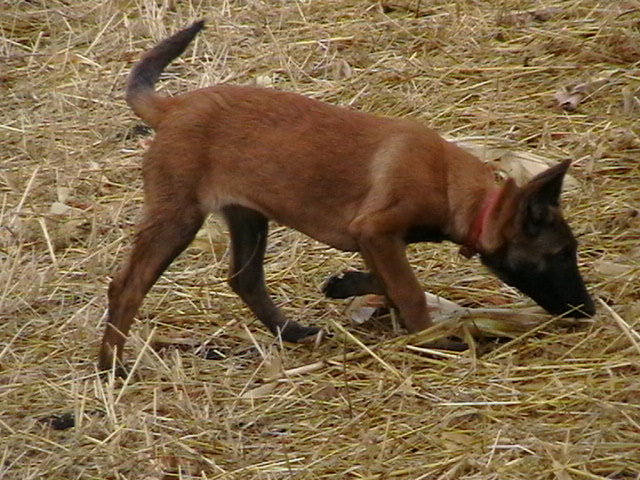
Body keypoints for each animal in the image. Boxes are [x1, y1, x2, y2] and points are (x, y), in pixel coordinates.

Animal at [99, 19, 596, 372]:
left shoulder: (373, 240)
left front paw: (344, 285)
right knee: (126, 286)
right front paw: (433, 339)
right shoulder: (376, 230)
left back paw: (292, 331)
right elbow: (409, 290)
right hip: (178, 217)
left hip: (248, 217)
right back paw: (112, 367)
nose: (588, 310)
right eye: (561, 254)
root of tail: (174, 107)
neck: (456, 189)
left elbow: (389, 283)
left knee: (246, 280)